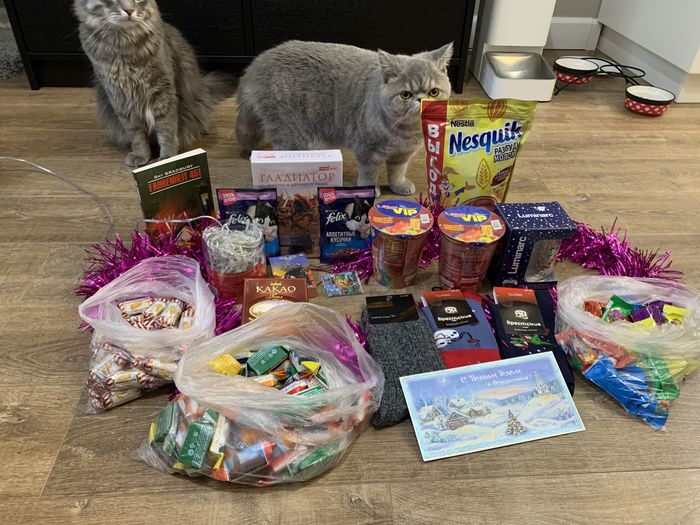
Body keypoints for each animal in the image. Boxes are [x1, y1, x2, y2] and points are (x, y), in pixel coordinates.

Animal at [74, 0, 234, 167]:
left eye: (138, 1)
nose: (129, 11)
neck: (123, 47)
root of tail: (204, 87)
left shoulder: (162, 91)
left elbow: (166, 129)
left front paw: (168, 157)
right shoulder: (120, 98)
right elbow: (137, 136)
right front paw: (141, 155)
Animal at [236, 40, 453, 196]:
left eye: (434, 92)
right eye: (406, 94)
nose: (422, 99)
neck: (406, 132)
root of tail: (256, 65)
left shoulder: (403, 154)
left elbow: (397, 172)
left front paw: (398, 185)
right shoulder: (367, 151)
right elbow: (368, 174)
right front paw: (370, 189)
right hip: (295, 136)